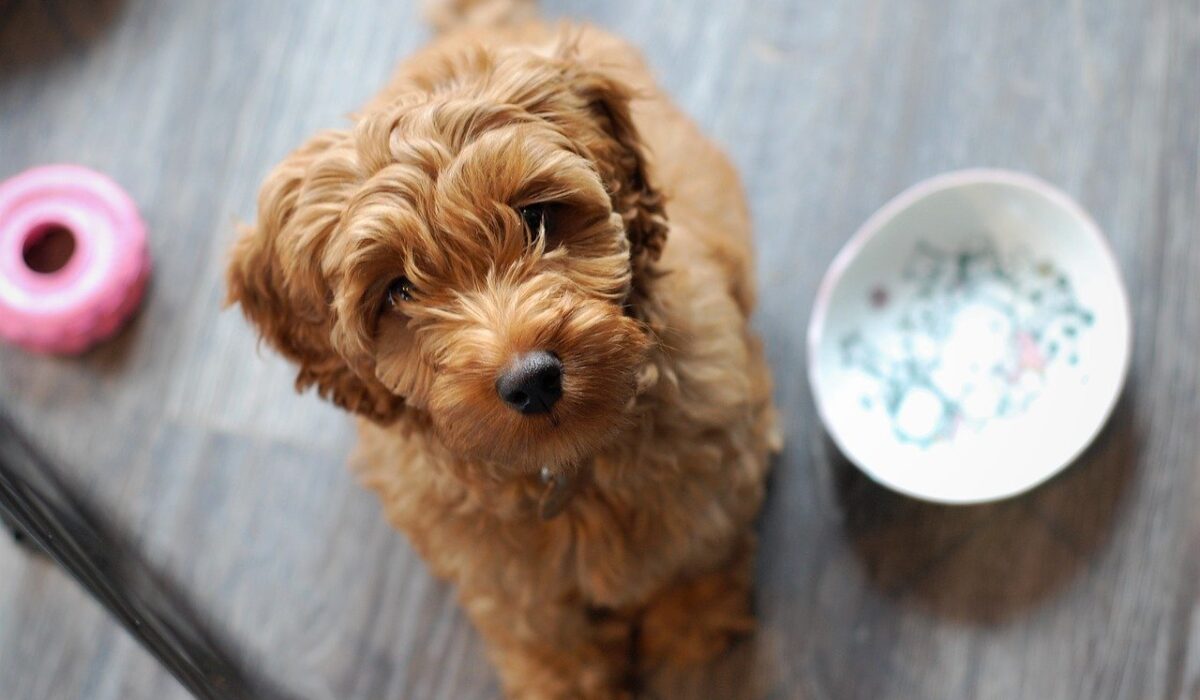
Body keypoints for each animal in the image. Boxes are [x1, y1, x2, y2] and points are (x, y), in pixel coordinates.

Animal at [229, 2, 782, 696]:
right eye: (398, 291)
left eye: (536, 217)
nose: (532, 379)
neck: (568, 470)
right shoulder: (489, 566)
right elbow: (539, 625)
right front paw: (565, 681)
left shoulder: (714, 461)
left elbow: (697, 549)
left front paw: (692, 626)